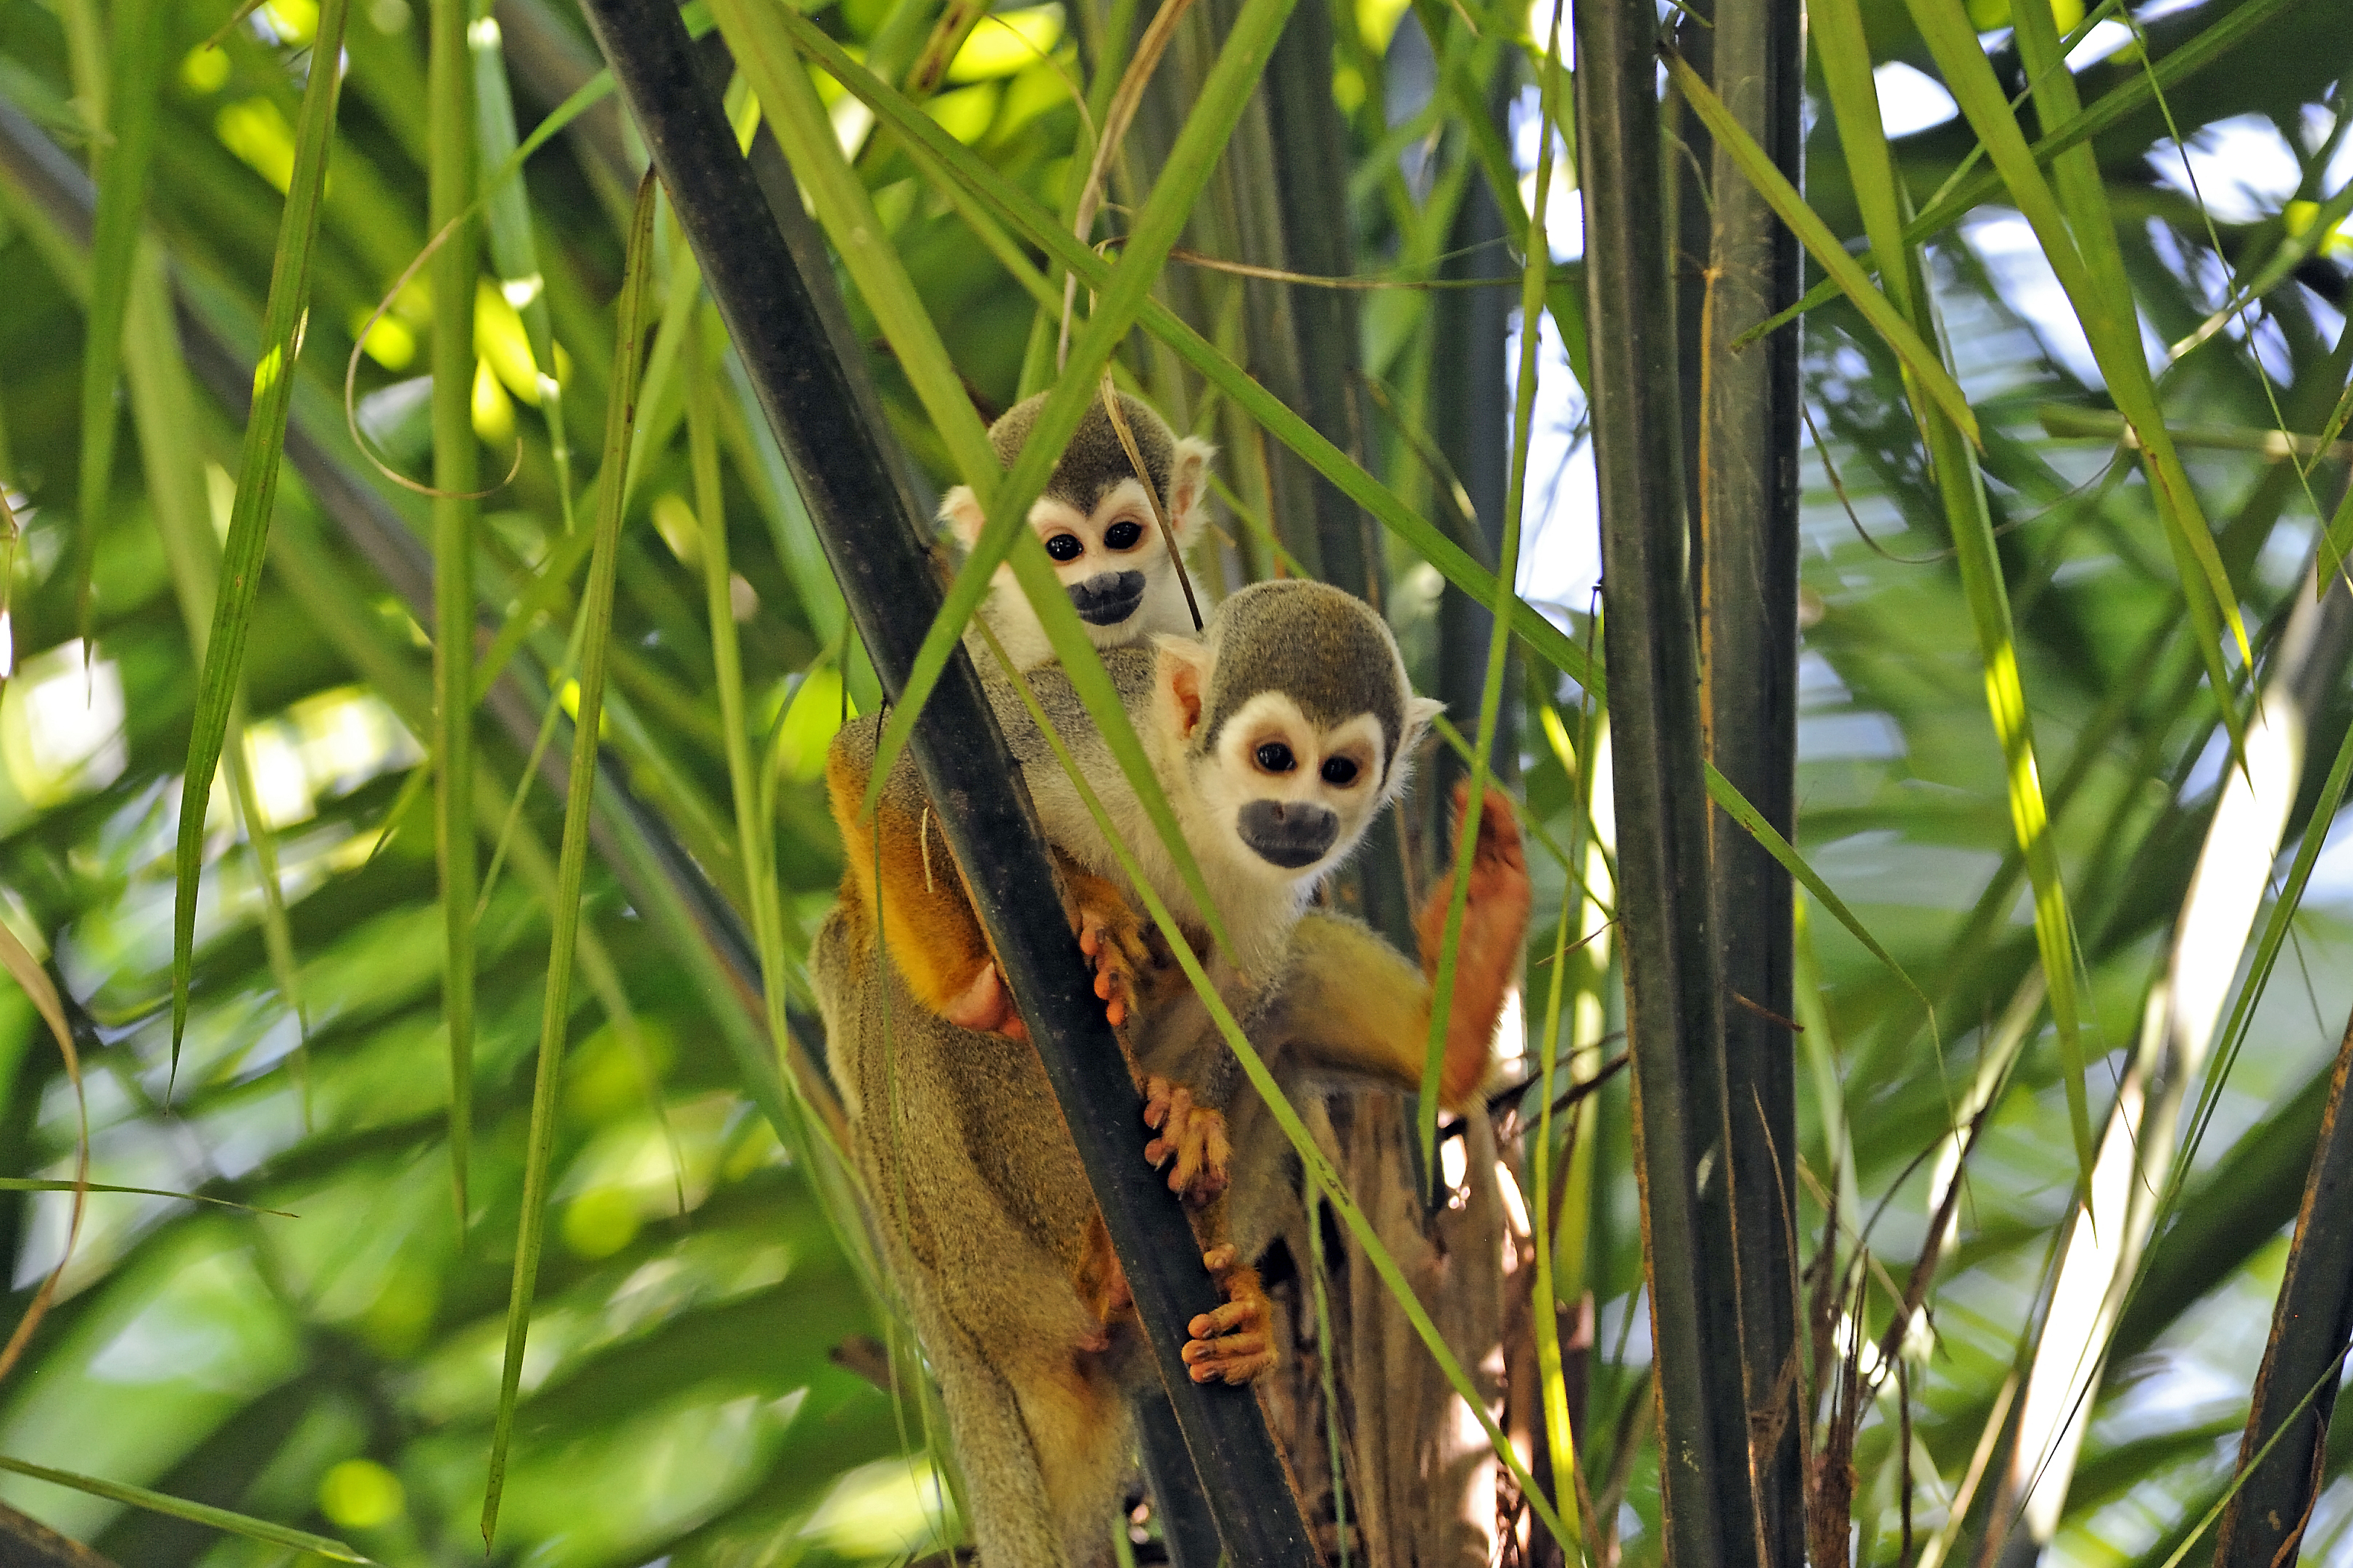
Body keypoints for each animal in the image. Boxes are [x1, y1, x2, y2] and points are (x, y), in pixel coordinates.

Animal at [819, 583, 1534, 1561]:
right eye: (1274, 758)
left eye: (1339, 772)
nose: (1301, 819)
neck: (1194, 807)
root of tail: (957, 1338)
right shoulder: (1084, 726)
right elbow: (884, 767)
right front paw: (996, 976)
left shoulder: (1270, 882)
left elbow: (1245, 992)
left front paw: (1191, 1121)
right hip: (978, 1254)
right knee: (895, 993)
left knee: (1293, 994)